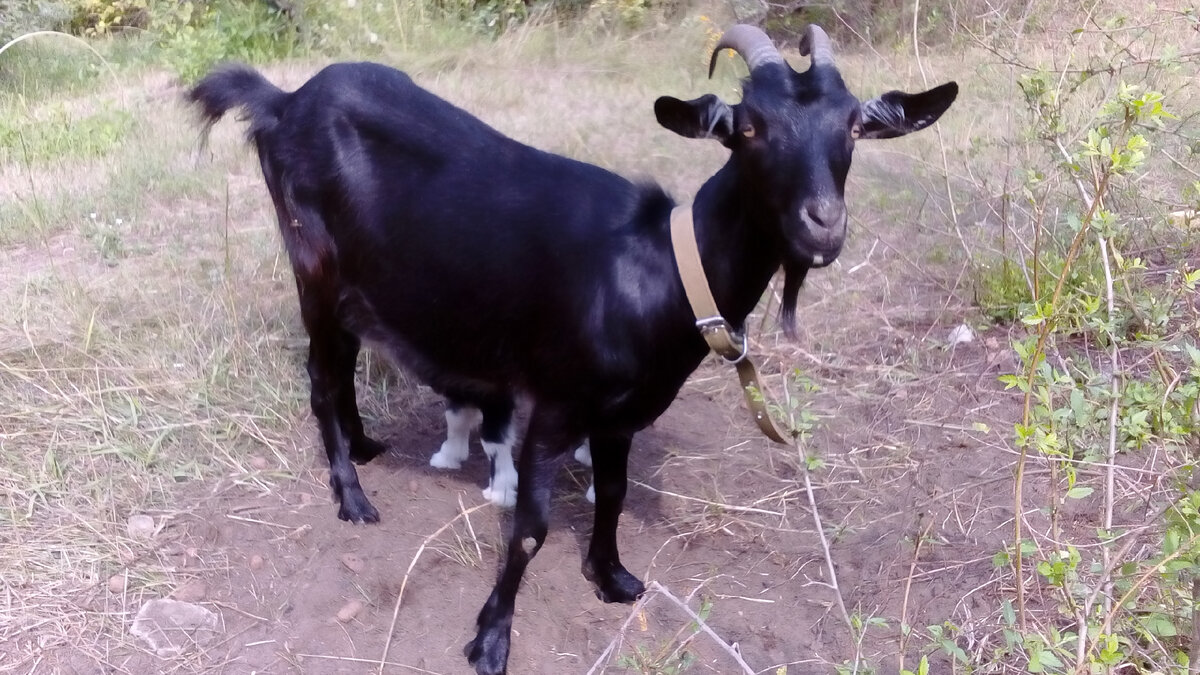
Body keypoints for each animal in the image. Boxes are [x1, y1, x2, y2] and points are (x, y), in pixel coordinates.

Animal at [187, 23, 955, 667]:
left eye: (853, 124)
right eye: (748, 127)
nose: (822, 225)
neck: (660, 270)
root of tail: (284, 100)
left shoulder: (620, 414)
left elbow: (613, 492)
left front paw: (611, 576)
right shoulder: (555, 404)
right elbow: (528, 527)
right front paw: (491, 638)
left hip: (354, 287)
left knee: (342, 367)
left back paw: (368, 447)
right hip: (312, 266)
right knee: (322, 377)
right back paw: (351, 496)